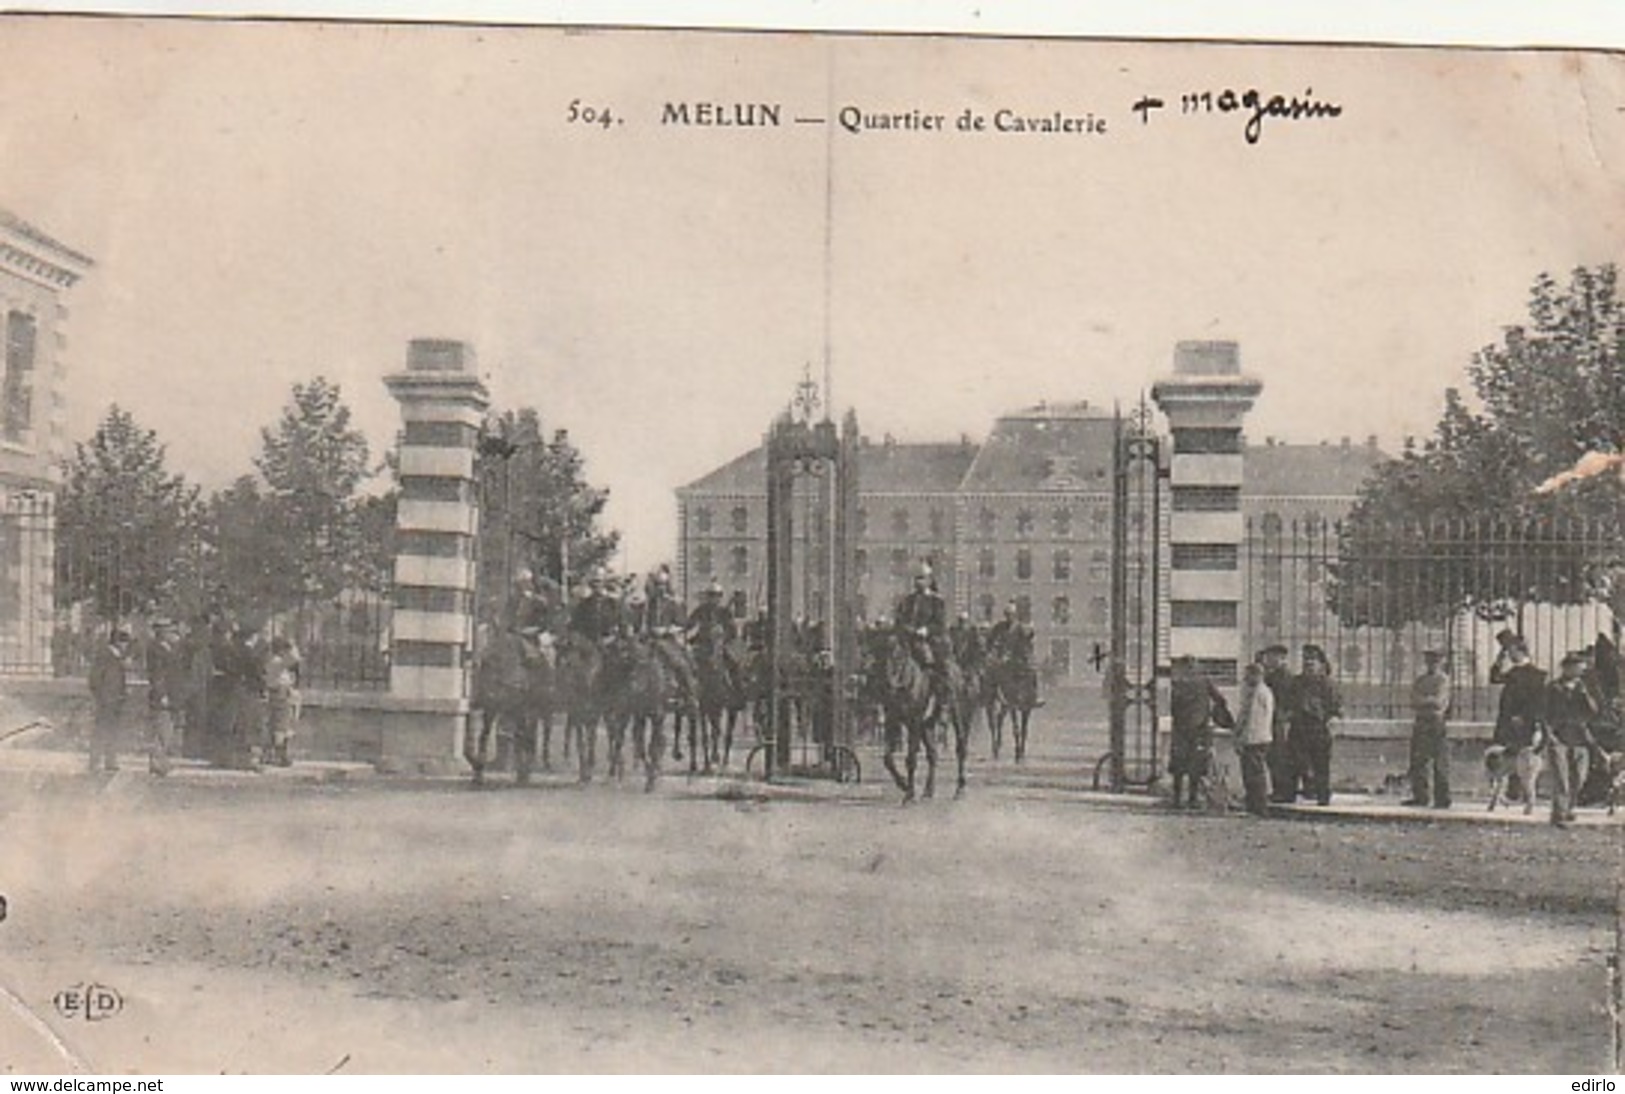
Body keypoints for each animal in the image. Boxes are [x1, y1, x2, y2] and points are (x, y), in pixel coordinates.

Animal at [468, 627, 555, 780]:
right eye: (485, 664)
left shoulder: (521, 707)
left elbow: (523, 734)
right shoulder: (492, 707)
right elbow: (484, 734)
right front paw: (478, 772)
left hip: (540, 707)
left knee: (541, 730)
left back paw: (540, 764)